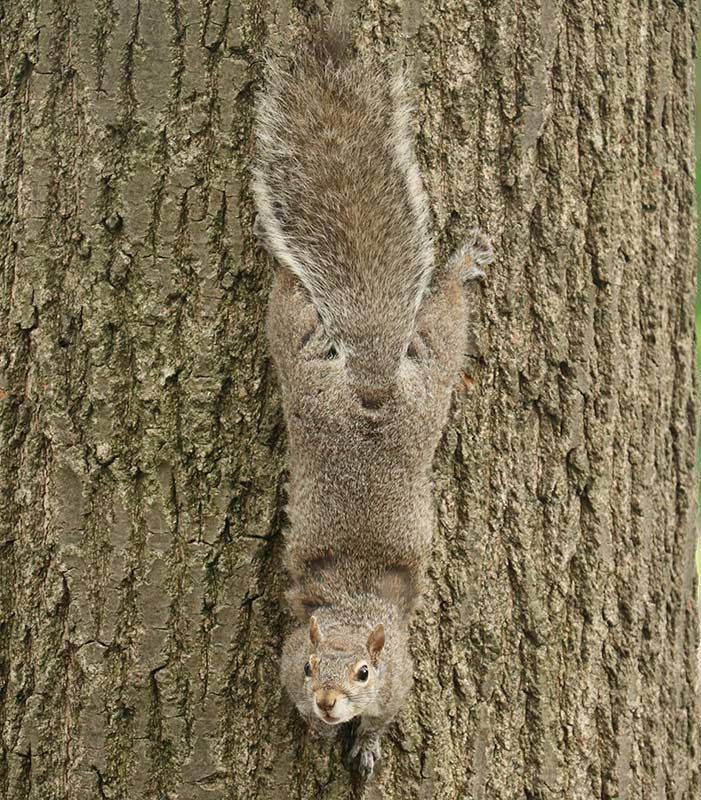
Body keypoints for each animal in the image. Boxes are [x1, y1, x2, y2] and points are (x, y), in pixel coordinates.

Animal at [251, 19, 493, 780]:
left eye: (365, 672)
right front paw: (318, 729)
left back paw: (458, 265)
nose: (329, 703)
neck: (354, 604)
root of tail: (370, 390)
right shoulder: (287, 653)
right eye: (310, 671)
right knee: (305, 314)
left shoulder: (402, 675)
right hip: (328, 374)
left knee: (437, 317)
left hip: (423, 375)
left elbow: (387, 718)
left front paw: (365, 745)